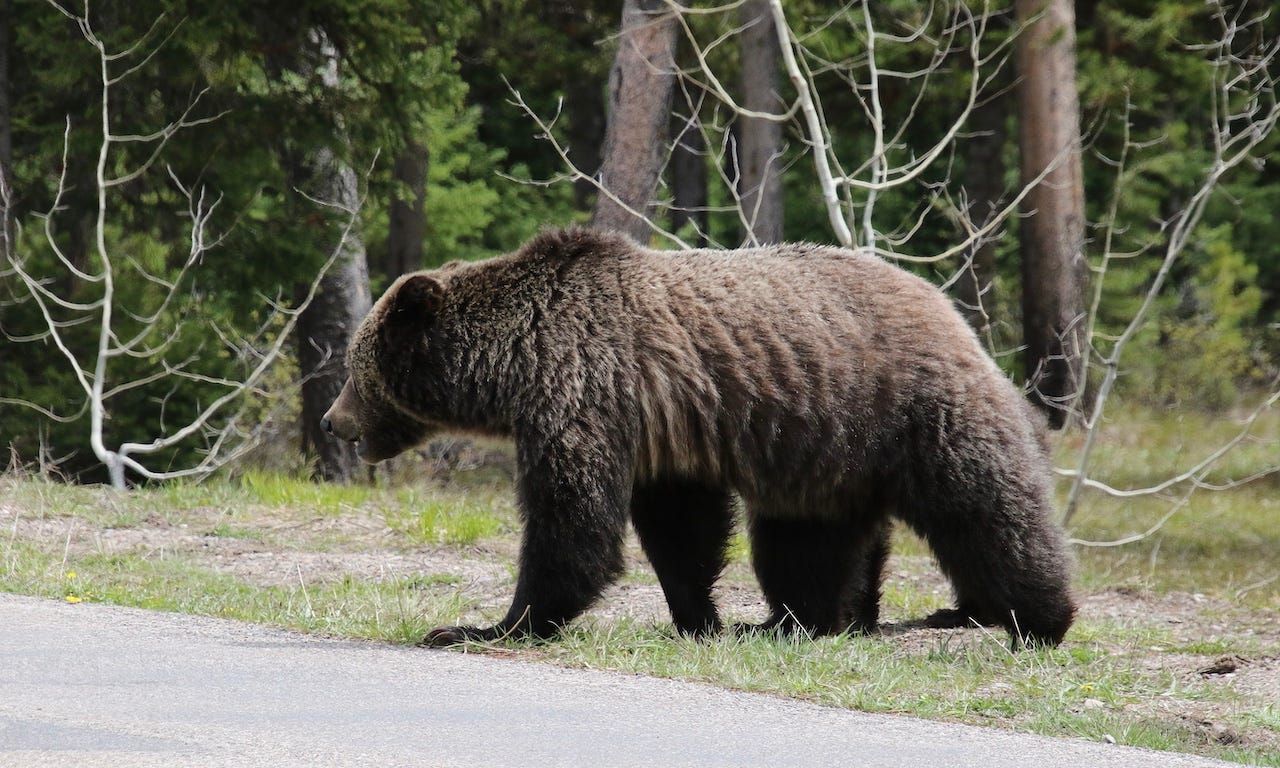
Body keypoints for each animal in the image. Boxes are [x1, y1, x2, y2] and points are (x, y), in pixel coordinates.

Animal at [321, 227, 1076, 646]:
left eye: (356, 369)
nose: (333, 420)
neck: (514, 363)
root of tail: (953, 311)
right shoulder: (660, 433)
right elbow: (681, 530)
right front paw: (699, 616)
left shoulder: (584, 392)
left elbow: (573, 525)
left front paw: (483, 624)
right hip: (825, 453)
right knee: (806, 541)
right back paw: (797, 621)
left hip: (909, 409)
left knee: (985, 508)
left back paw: (1031, 618)